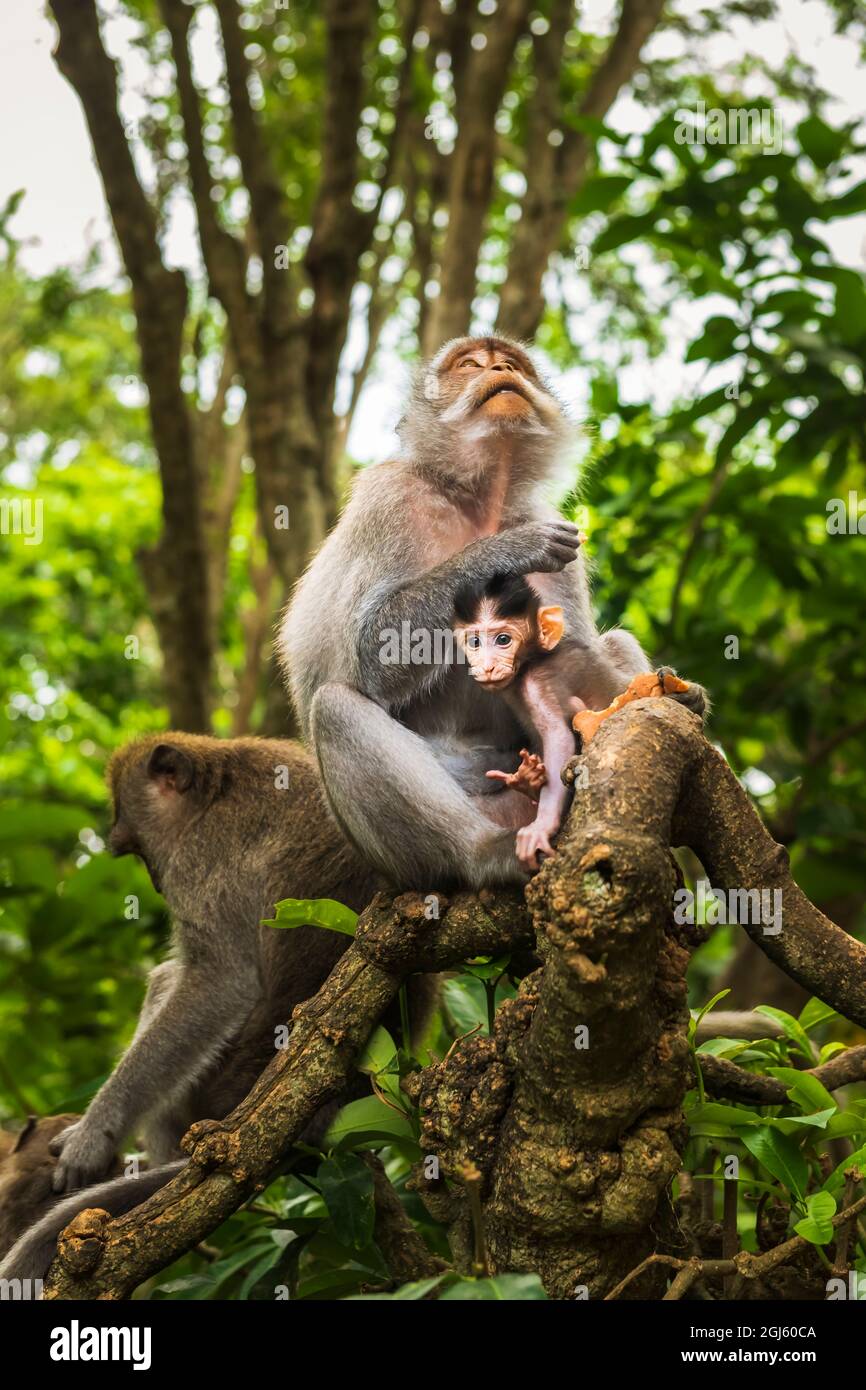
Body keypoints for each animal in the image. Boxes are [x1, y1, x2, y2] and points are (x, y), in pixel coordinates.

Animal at [450, 569, 578, 861]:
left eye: (503, 640)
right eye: (475, 642)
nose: (487, 666)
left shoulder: (535, 684)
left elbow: (559, 737)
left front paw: (542, 825)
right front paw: (528, 778)